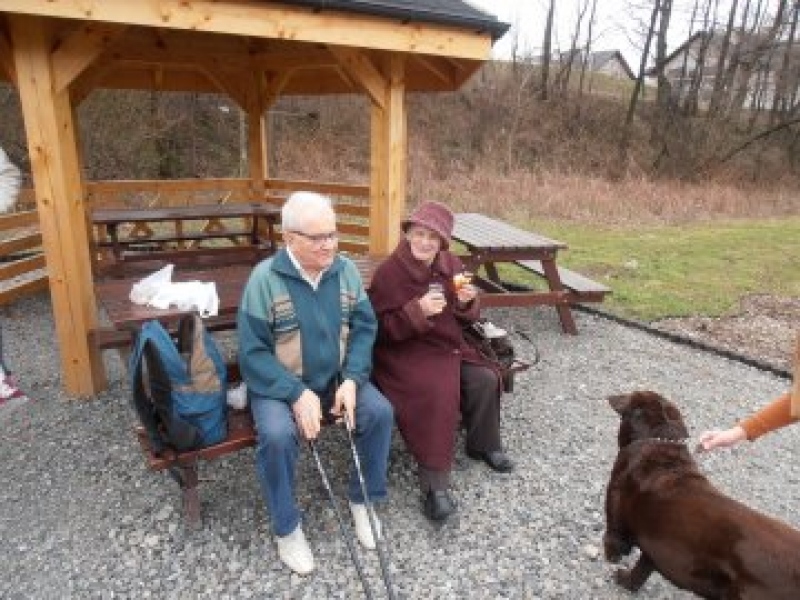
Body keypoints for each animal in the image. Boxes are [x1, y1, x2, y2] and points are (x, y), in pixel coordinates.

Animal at [604, 392, 800, 596]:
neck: (658, 439)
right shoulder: (656, 550)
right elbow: (641, 571)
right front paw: (627, 582)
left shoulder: (615, 520)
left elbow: (615, 543)